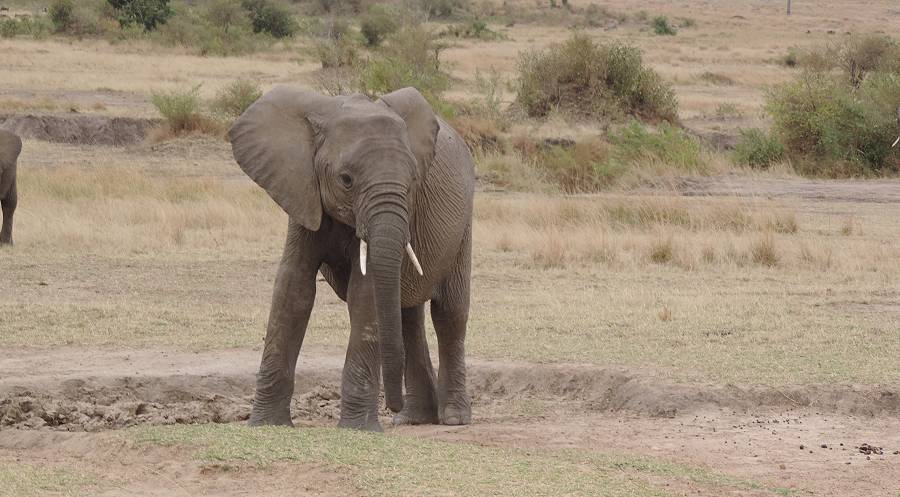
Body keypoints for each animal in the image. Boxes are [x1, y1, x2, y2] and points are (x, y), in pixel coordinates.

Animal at [229, 85, 474, 430]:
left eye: (413, 181)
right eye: (346, 179)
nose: (391, 405)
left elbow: (364, 292)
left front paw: (359, 429)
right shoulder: (302, 190)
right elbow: (293, 287)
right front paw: (266, 425)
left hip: (463, 224)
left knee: (449, 313)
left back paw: (452, 417)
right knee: (406, 316)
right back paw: (413, 418)